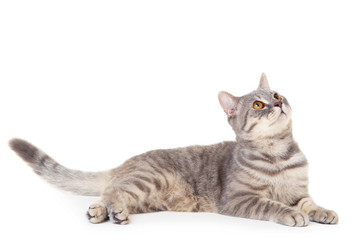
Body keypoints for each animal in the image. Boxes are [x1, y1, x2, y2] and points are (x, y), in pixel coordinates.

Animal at [9, 73, 338, 227]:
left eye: (277, 94)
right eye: (258, 104)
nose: (278, 103)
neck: (278, 153)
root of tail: (124, 163)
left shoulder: (299, 192)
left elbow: (309, 203)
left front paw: (323, 212)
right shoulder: (240, 199)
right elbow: (272, 205)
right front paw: (291, 215)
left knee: (113, 195)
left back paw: (106, 212)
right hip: (148, 179)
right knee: (112, 192)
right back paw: (107, 211)